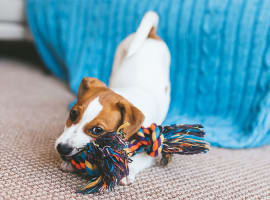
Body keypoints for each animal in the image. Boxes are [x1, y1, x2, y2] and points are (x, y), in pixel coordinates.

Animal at [54, 11, 171, 184]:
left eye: (97, 130)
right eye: (73, 113)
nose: (62, 148)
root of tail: (151, 35)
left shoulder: (151, 150)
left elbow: (139, 159)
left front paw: (127, 172)